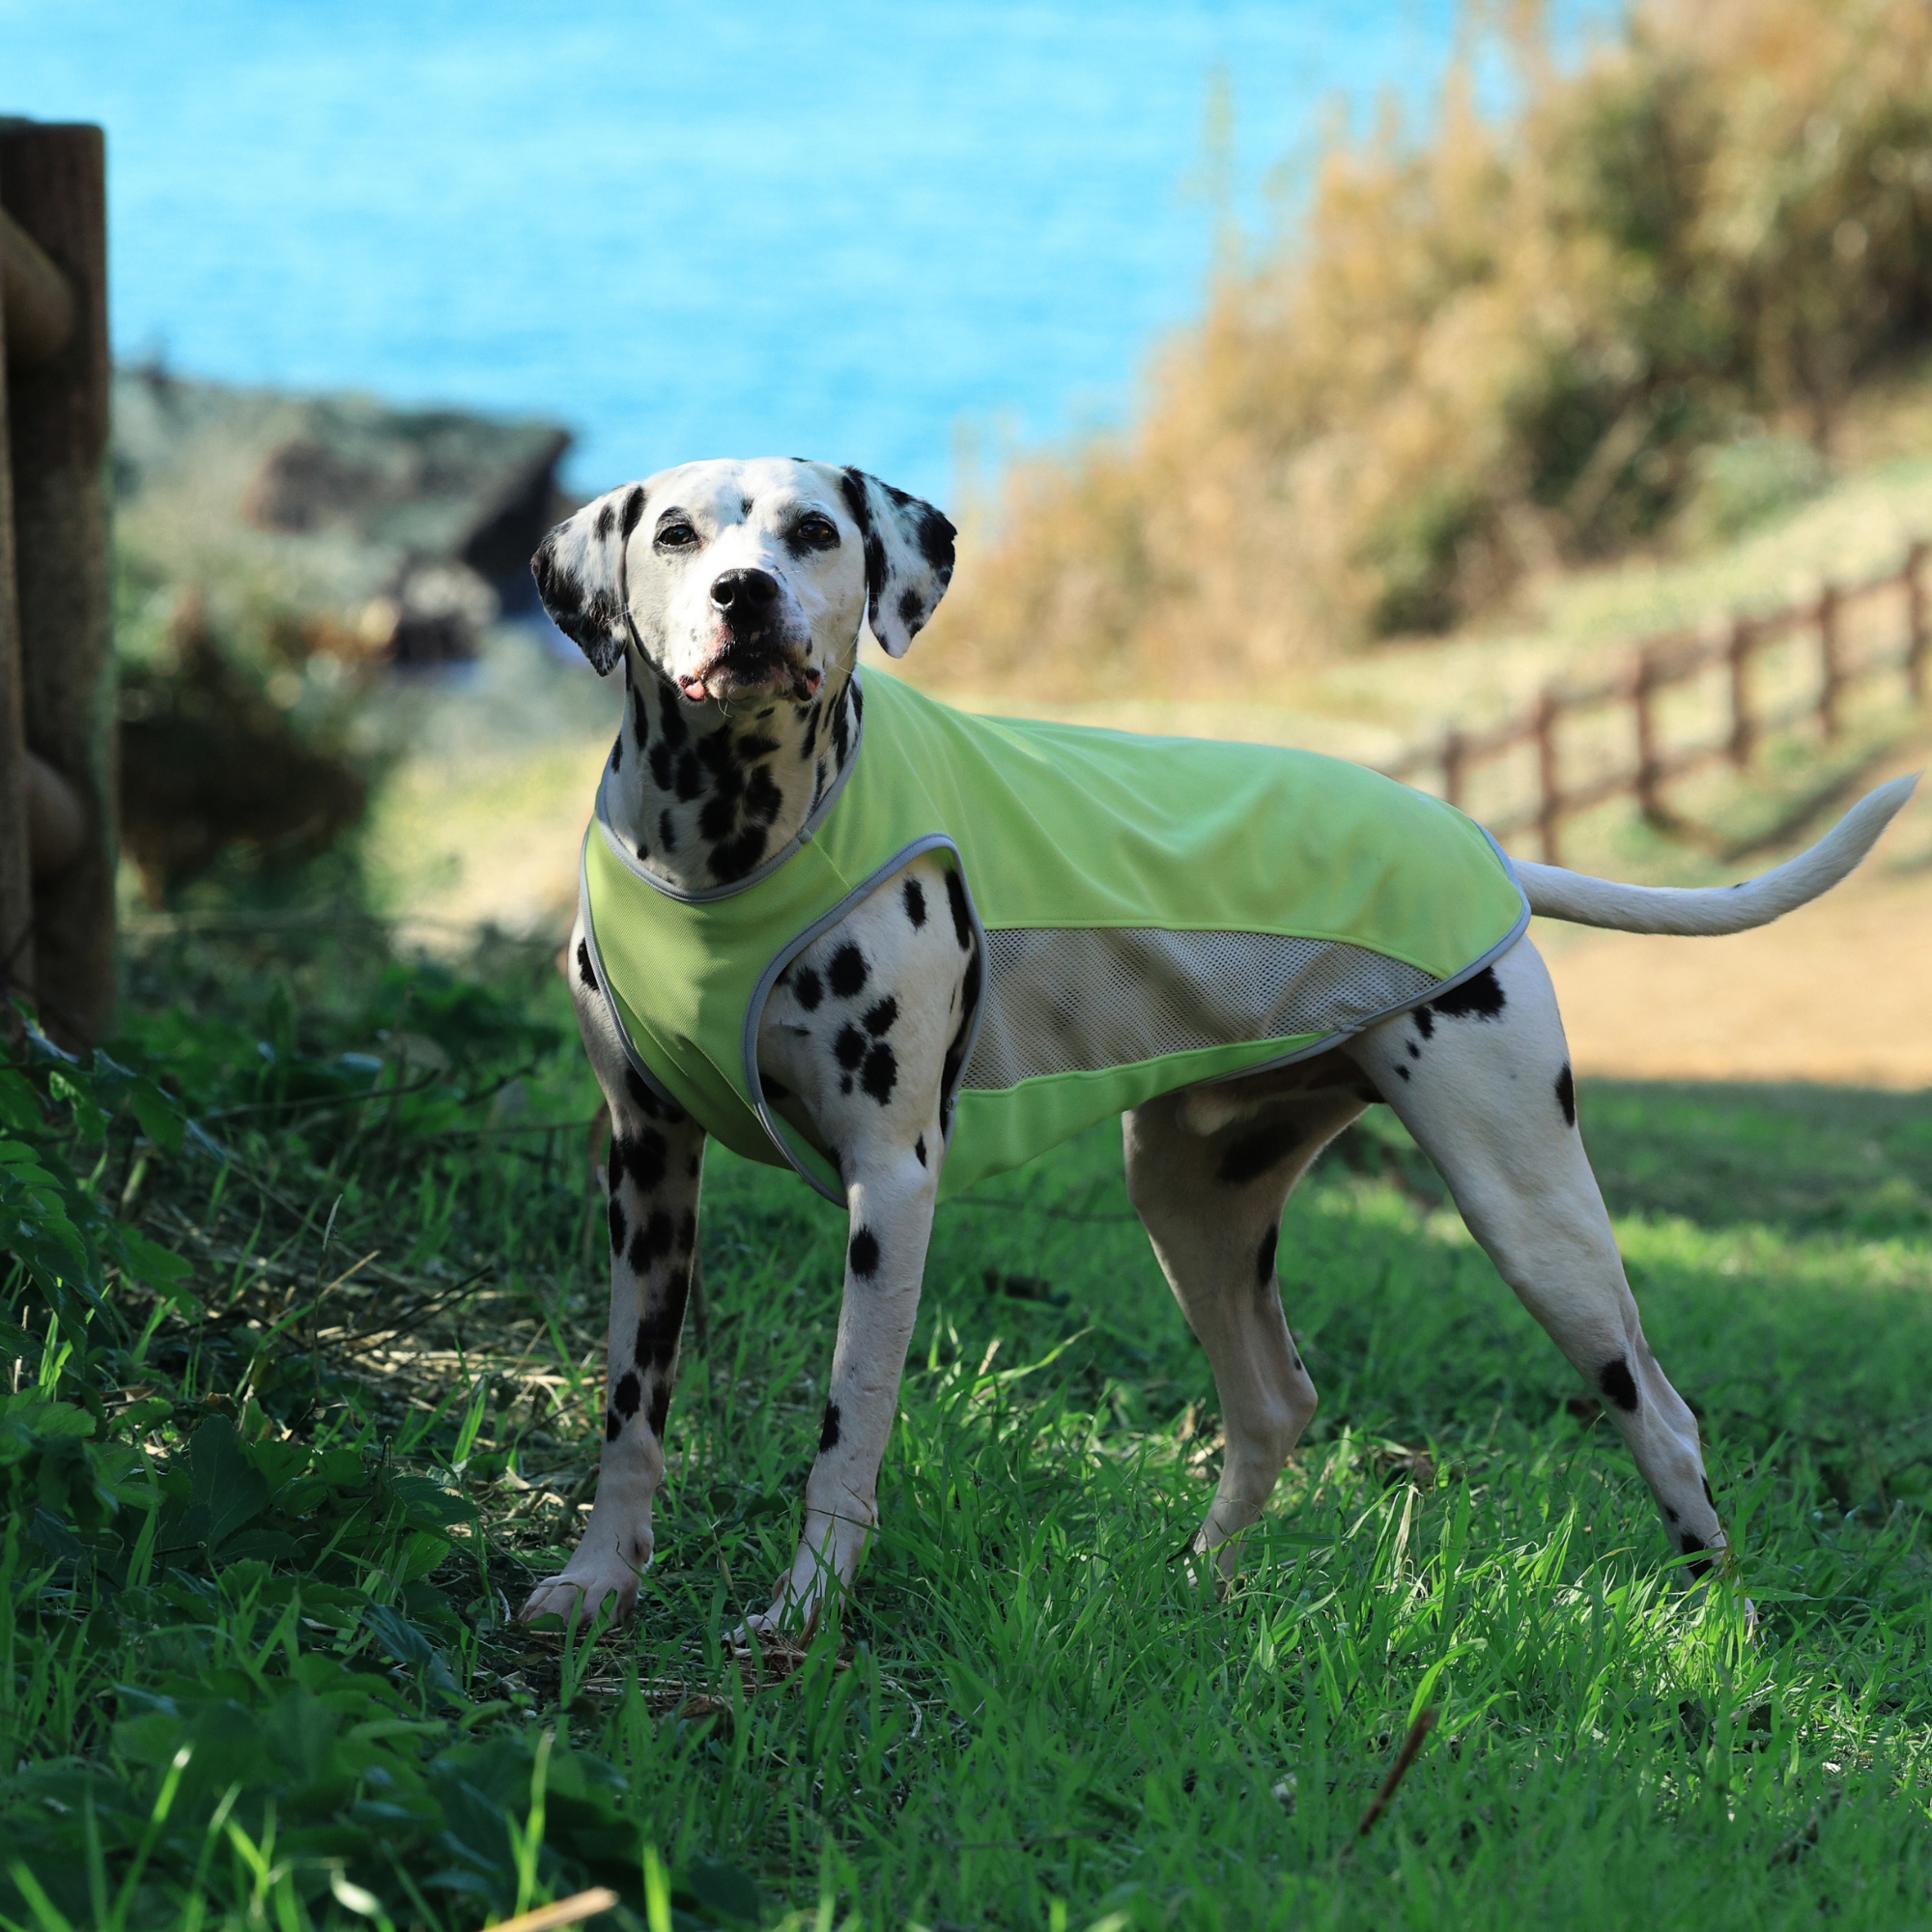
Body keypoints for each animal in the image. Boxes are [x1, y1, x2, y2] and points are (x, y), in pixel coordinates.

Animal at [522, 452, 1924, 1631]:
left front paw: (804, 1611)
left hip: (1530, 1210)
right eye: (677, 533)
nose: (745, 596)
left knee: (1665, 1417)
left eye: (814, 531)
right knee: (1273, 1401)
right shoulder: (644, 1166)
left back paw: (1719, 1631)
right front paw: (598, 1580)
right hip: (1194, 1196)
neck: (728, 842)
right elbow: (630, 1406)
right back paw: (1202, 1582)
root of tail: (1479, 843)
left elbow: (846, 1423)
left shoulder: (891, 1183)